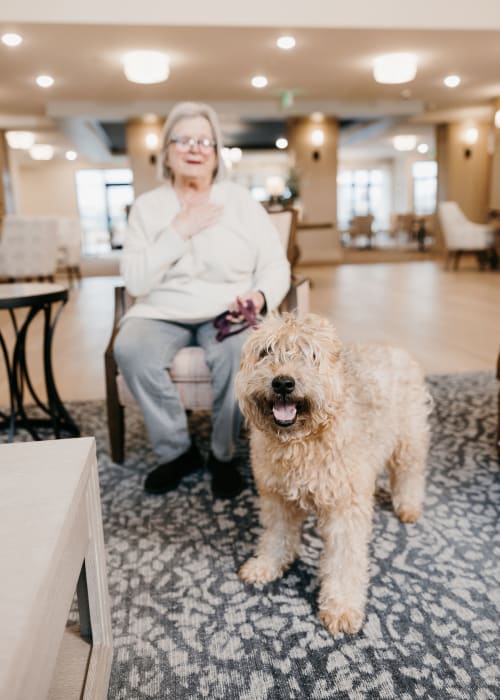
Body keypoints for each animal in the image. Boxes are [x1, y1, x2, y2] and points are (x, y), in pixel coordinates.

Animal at [236, 314, 432, 636]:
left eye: (310, 354)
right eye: (266, 352)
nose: (283, 382)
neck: (302, 440)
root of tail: (394, 349)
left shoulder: (345, 509)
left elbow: (344, 560)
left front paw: (341, 607)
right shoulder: (277, 498)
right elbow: (276, 536)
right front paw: (266, 565)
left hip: (409, 438)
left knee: (410, 474)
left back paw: (408, 506)